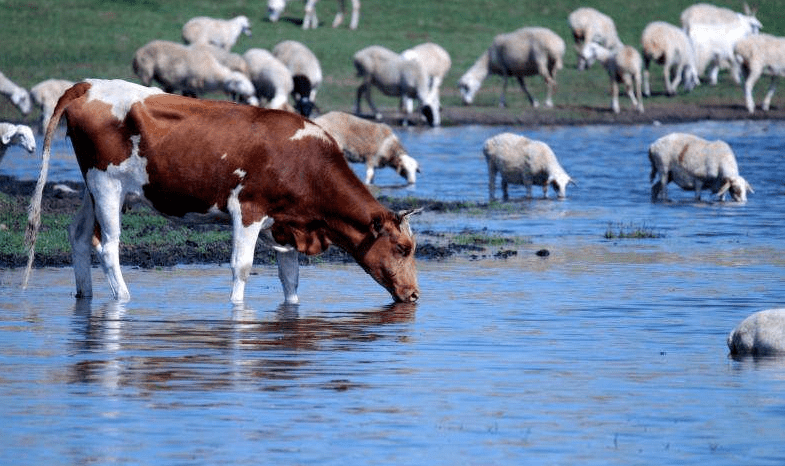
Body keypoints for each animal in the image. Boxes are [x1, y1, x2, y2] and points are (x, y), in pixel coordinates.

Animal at [21, 79, 420, 306]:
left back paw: (84, 295)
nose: (415, 294)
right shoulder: (248, 208)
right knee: (107, 247)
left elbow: (290, 277)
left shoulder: (285, 224)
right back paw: (124, 297)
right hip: (106, 185)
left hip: (95, 188)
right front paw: (237, 309)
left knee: (77, 234)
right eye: (402, 248)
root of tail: (87, 85)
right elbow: (241, 266)